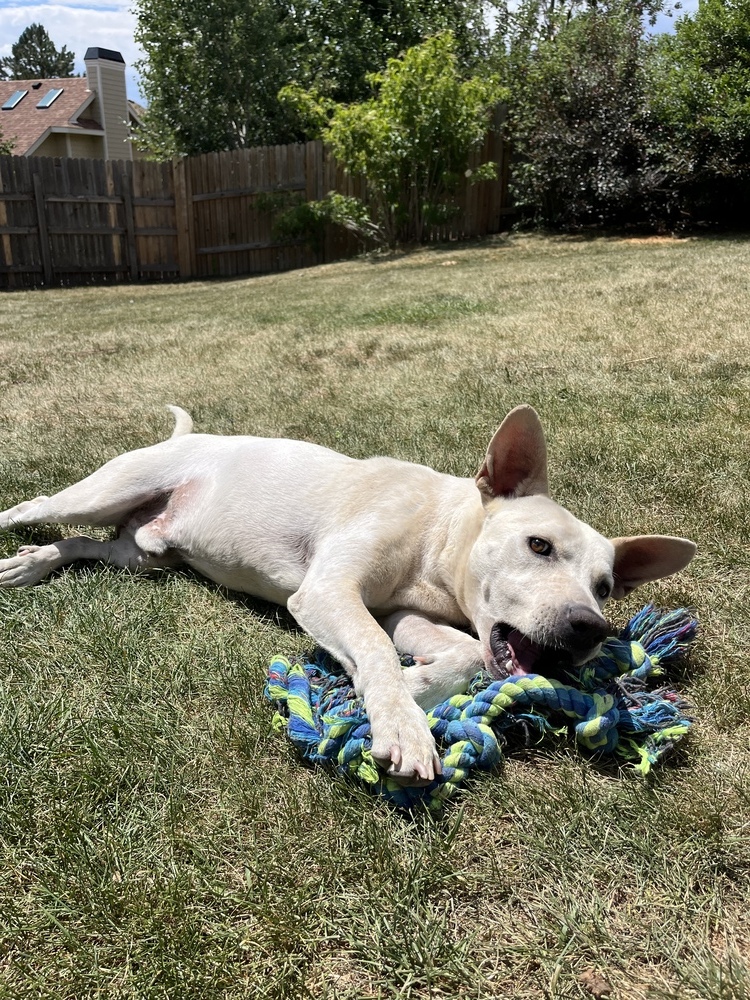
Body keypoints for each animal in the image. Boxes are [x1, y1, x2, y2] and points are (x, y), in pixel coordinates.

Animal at [0, 402, 700, 784]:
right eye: (539, 546)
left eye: (606, 587)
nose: (590, 628)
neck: (437, 533)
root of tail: (186, 437)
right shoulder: (329, 591)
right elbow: (374, 647)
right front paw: (403, 726)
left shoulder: (403, 614)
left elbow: (455, 653)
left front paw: (407, 692)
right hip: (105, 491)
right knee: (35, 507)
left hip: (142, 554)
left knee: (81, 545)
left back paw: (29, 565)